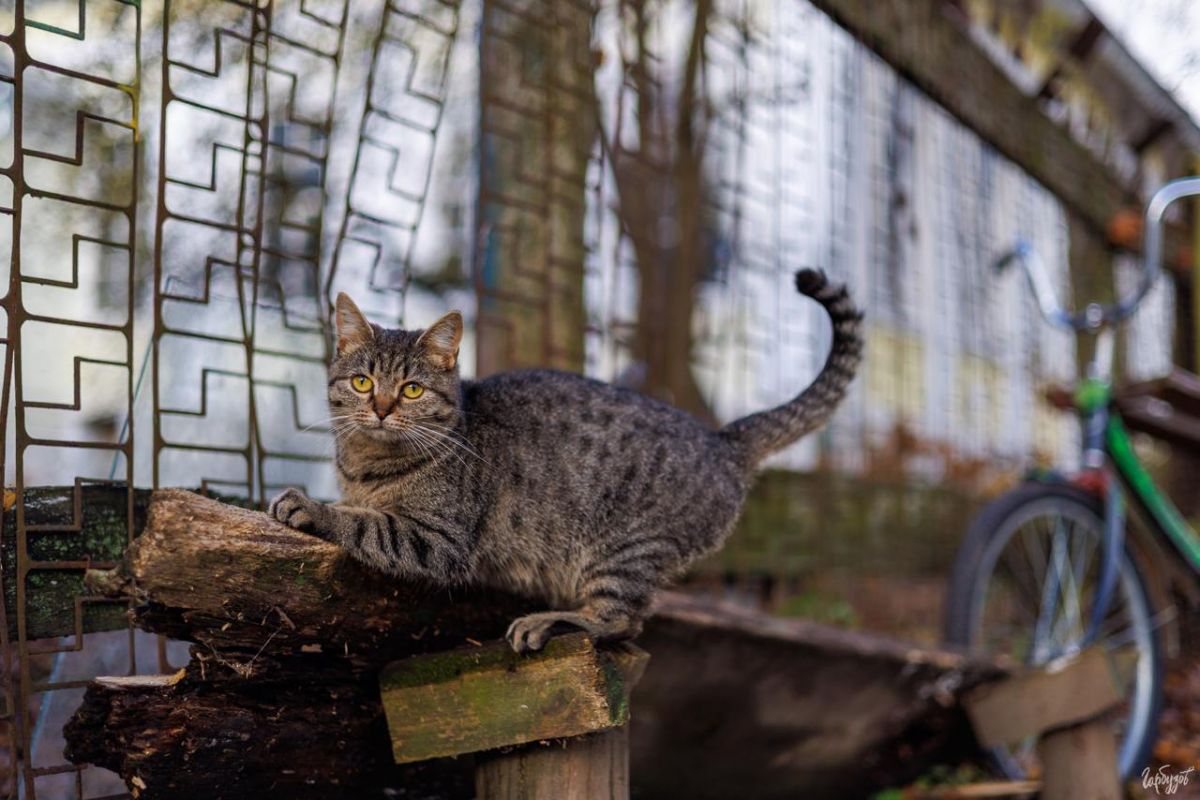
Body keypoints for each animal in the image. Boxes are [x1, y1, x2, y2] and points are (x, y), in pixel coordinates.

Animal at [269, 269, 862, 653]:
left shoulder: (438, 539)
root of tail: (721, 439)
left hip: (625, 547)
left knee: (621, 622)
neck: (368, 465)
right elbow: (363, 511)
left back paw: (550, 621)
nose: (383, 408)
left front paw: (311, 507)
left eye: (412, 389)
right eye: (362, 382)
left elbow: (365, 523)